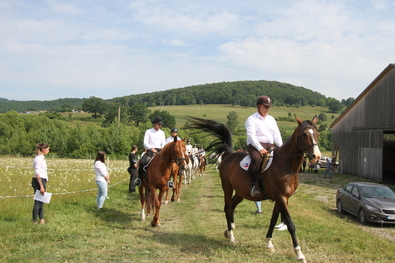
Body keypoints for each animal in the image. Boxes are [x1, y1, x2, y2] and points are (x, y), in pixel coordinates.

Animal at [190, 116, 324, 263]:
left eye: (316, 133)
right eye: (304, 134)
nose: (316, 156)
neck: (285, 165)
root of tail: (229, 155)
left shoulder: (281, 199)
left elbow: (273, 220)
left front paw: (269, 243)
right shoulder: (281, 198)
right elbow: (290, 225)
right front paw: (299, 254)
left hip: (240, 193)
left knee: (232, 206)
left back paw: (229, 230)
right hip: (227, 188)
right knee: (227, 208)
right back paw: (231, 236)